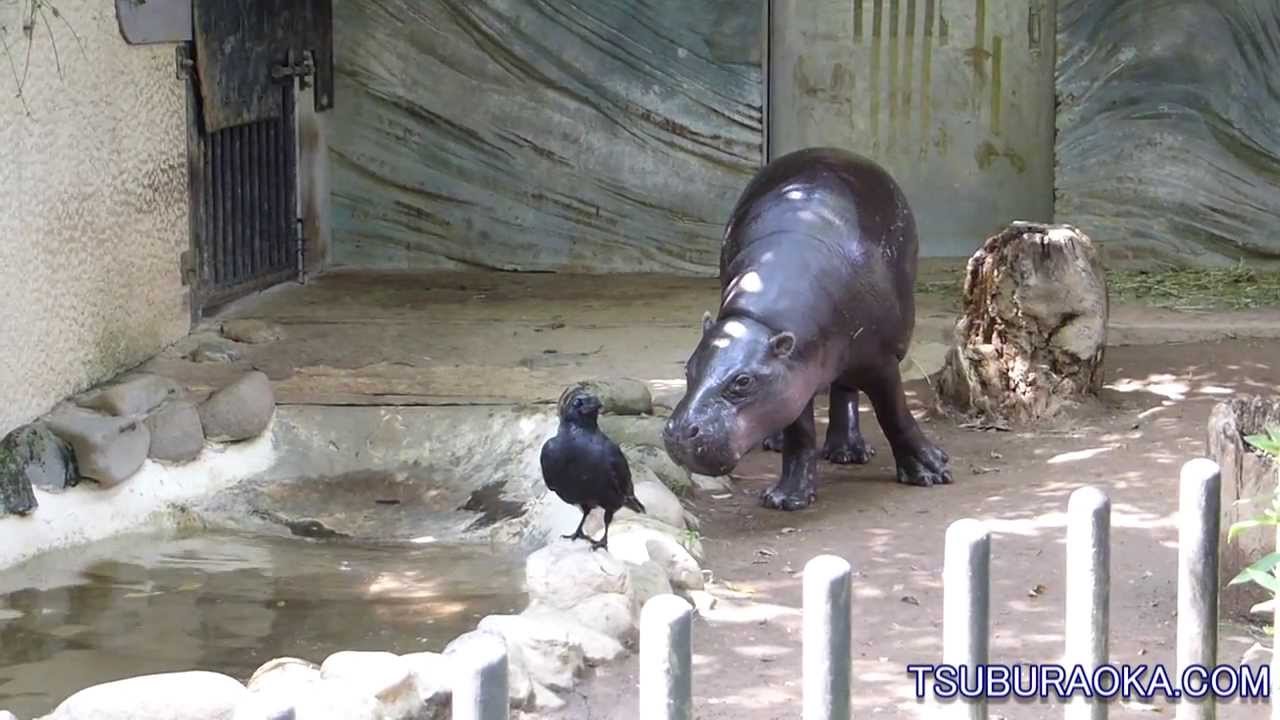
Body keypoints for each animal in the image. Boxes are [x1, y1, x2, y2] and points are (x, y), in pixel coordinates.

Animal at [660, 146, 952, 507]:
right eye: (688, 368)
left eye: (742, 381)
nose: (678, 433)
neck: (762, 324)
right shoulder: (794, 373)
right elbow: (800, 433)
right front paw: (787, 499)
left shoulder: (881, 360)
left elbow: (894, 412)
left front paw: (932, 472)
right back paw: (784, 443)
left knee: (846, 388)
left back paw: (849, 453)